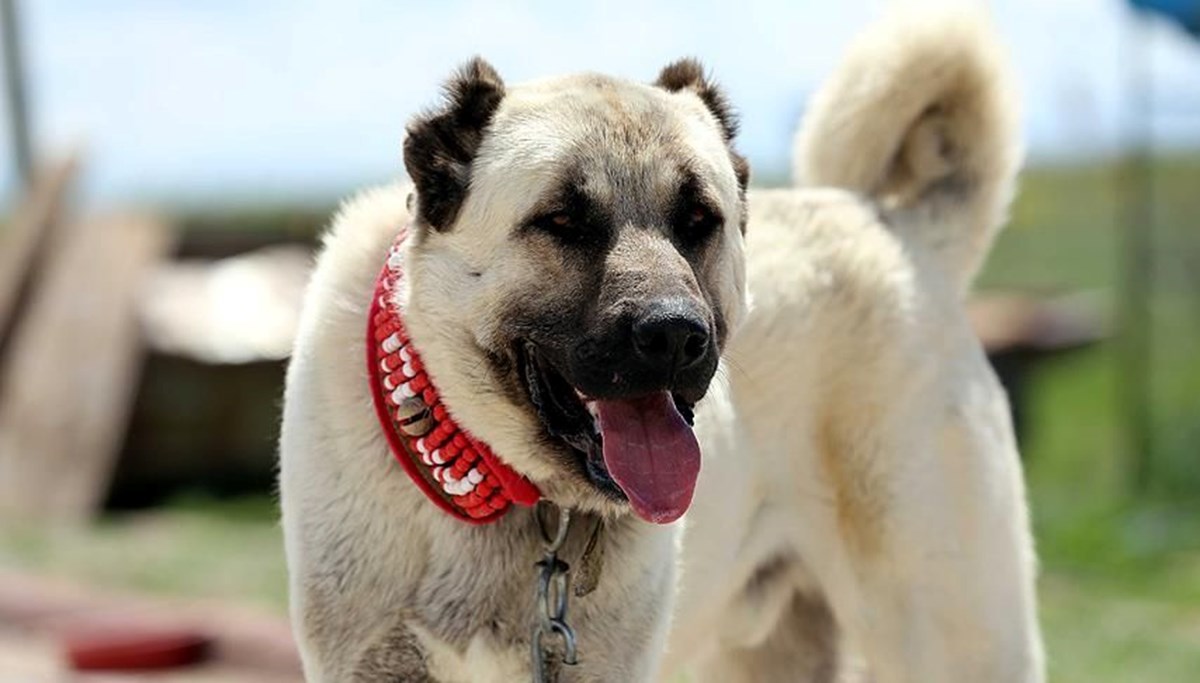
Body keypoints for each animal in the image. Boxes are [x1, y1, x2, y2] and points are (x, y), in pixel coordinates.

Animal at [278, 7, 1041, 676]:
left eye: (699, 219)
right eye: (562, 219)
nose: (675, 334)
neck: (521, 496)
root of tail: (897, 227)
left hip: (952, 630)